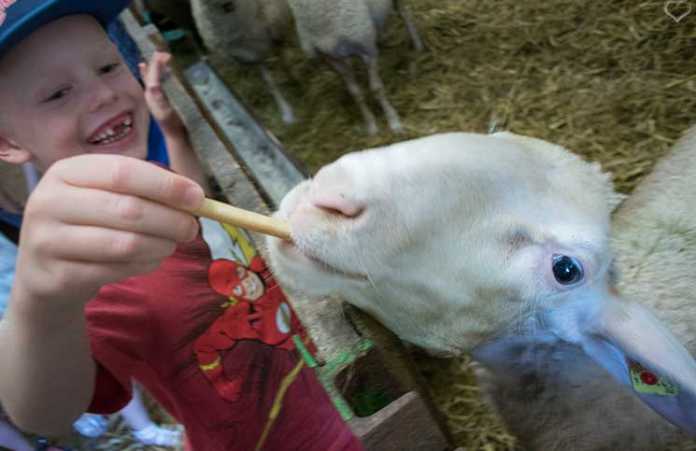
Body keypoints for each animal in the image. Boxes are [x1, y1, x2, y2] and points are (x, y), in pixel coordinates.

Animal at [286, 0, 423, 135]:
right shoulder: (334, 60)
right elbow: (355, 93)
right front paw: (371, 124)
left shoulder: (366, 48)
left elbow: (376, 89)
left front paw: (393, 121)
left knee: (404, 12)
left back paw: (418, 45)